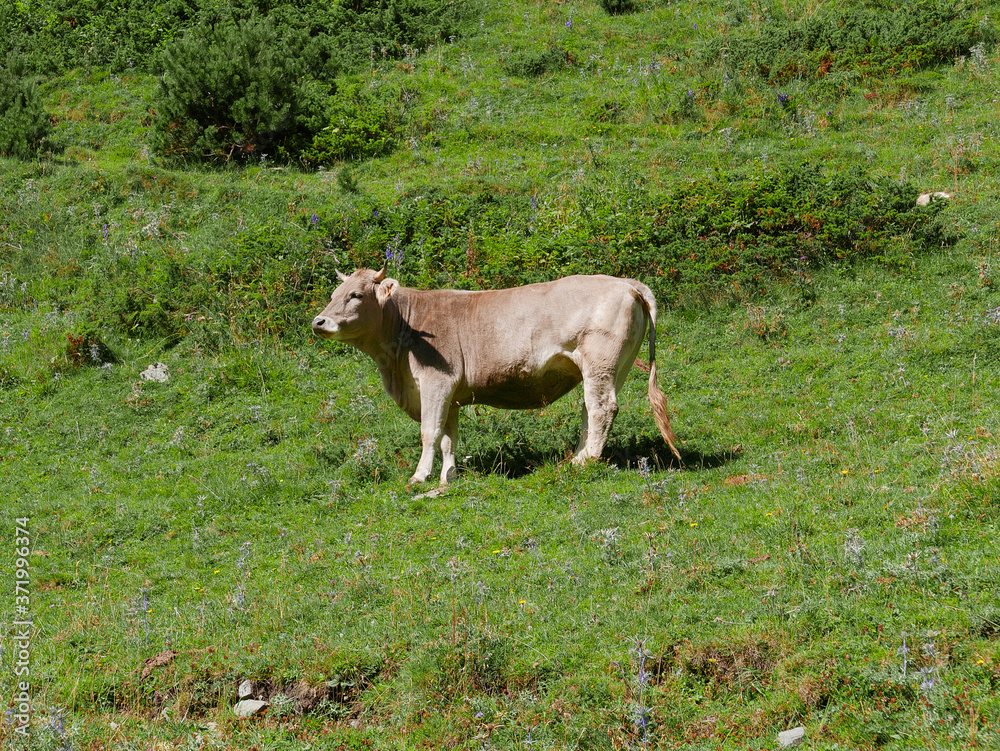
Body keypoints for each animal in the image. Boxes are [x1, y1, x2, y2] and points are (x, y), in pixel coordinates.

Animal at [311, 268, 681, 484]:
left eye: (356, 295)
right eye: (333, 295)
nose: (319, 322)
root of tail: (625, 282)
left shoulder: (435, 383)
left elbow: (429, 432)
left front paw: (420, 476)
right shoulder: (451, 395)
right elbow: (448, 437)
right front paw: (448, 476)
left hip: (600, 363)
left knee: (602, 408)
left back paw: (584, 462)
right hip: (615, 367)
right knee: (590, 411)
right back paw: (576, 457)